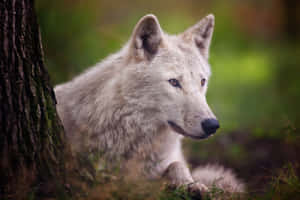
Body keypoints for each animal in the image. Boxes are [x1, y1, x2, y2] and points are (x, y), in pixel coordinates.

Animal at [55, 13, 245, 194]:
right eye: (174, 82)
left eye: (202, 81)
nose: (212, 125)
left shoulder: (170, 160)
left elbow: (178, 166)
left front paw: (191, 185)